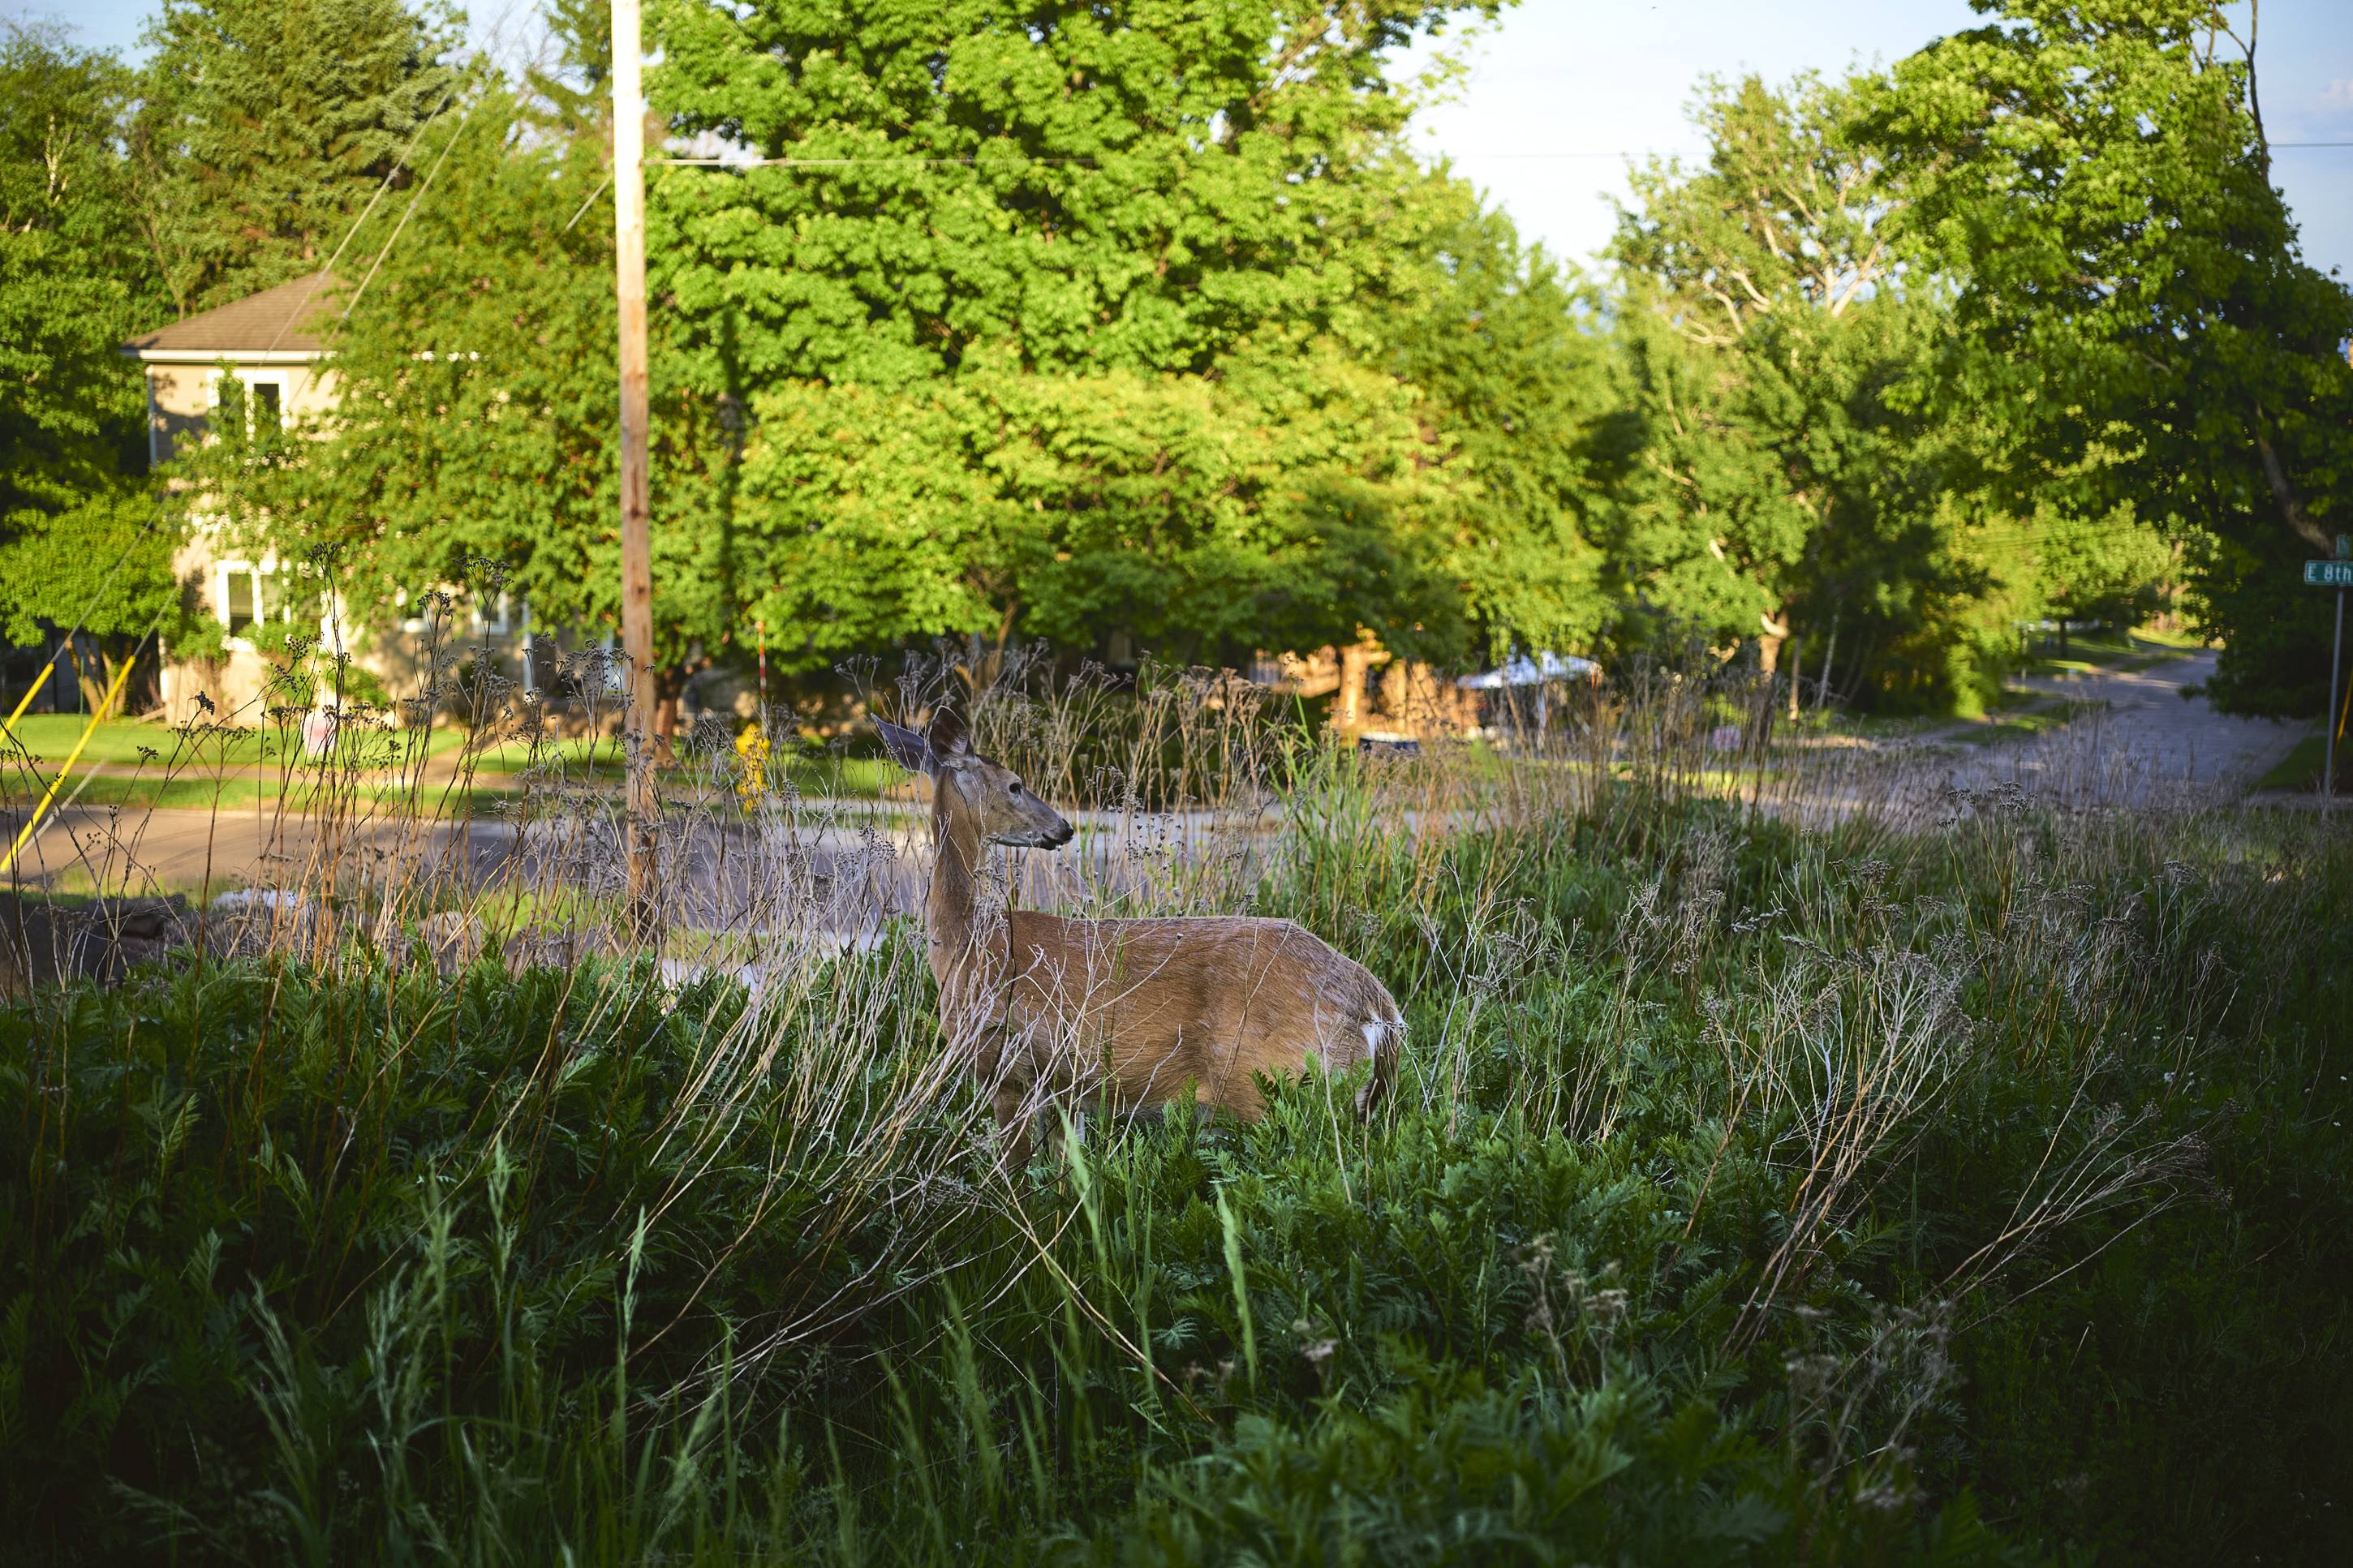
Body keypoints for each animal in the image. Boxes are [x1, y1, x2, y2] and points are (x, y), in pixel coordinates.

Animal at [877, 709, 1400, 1168]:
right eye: (1015, 785)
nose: (1063, 827)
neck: (966, 941)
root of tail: (1378, 1007)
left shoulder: (1004, 1063)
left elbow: (1016, 1173)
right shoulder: (1064, 1088)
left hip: (1268, 1086)